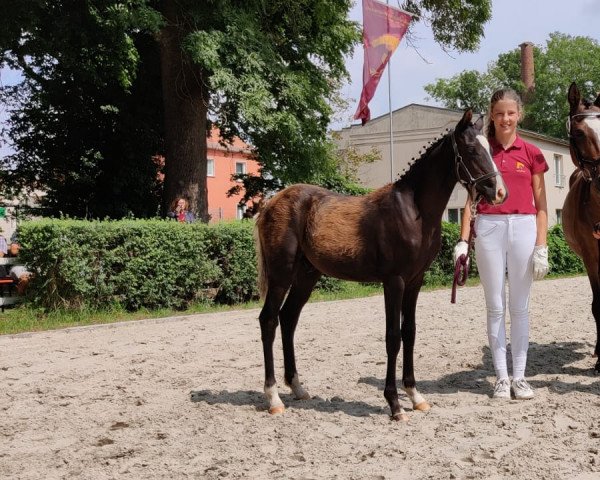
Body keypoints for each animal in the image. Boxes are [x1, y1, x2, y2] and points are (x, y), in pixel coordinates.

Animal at [253, 109, 506, 420]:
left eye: (490, 148)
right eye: (471, 149)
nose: (499, 192)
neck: (413, 211)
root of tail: (270, 203)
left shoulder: (415, 281)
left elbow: (409, 332)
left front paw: (415, 396)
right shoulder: (394, 281)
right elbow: (393, 337)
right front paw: (395, 404)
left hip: (306, 275)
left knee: (289, 318)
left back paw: (297, 388)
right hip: (281, 275)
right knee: (269, 320)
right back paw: (274, 397)